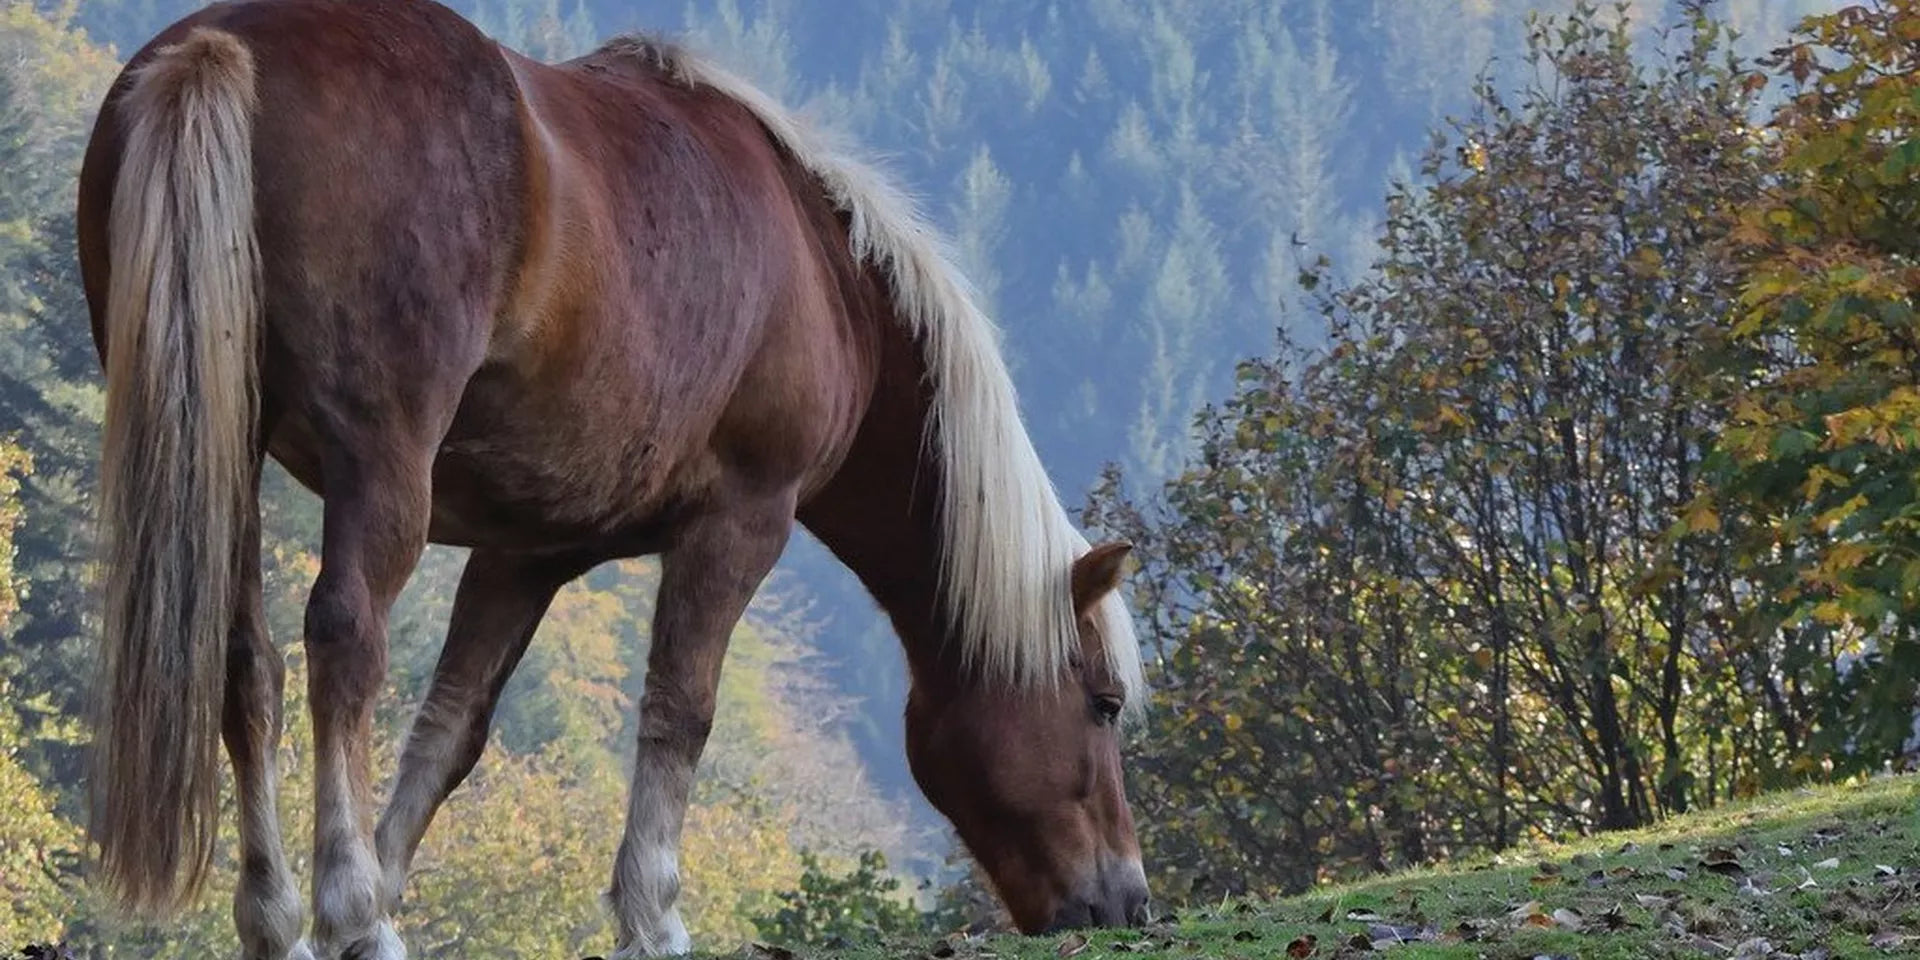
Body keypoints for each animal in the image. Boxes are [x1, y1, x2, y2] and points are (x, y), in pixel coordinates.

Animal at [75, 0, 1151, 956]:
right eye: (1102, 703)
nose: (1127, 902)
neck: (823, 265)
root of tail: (227, 45)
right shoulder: (739, 522)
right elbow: (681, 710)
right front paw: (650, 914)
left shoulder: (522, 552)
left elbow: (451, 730)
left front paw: (391, 880)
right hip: (380, 468)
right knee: (345, 642)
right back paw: (350, 910)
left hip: (231, 451)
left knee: (243, 660)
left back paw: (281, 920)